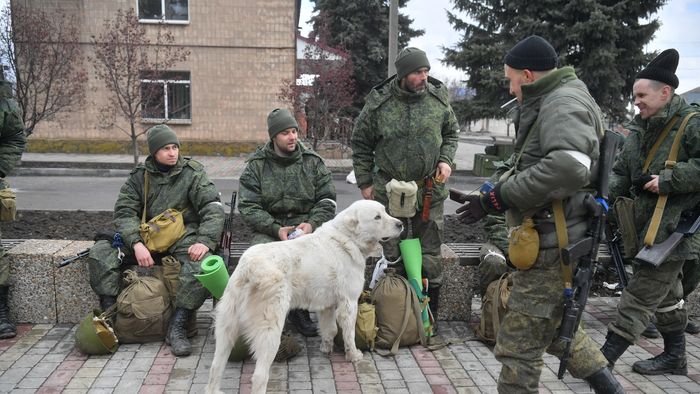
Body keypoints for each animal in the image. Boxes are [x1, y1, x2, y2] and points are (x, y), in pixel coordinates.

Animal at [205, 200, 402, 394]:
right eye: (377, 217)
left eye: (385, 211)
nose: (400, 224)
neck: (347, 238)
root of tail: (249, 267)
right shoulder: (349, 303)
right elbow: (348, 334)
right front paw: (353, 355)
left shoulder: (327, 306)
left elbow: (330, 330)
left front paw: (326, 348)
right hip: (269, 330)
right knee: (259, 376)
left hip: (227, 325)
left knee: (215, 367)